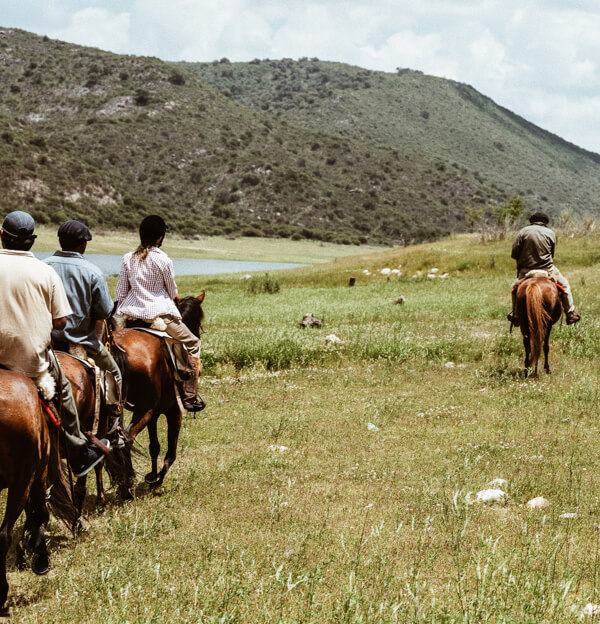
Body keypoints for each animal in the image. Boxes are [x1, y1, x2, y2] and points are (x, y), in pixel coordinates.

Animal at [111, 294, 205, 498]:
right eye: (199, 320)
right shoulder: (173, 412)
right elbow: (171, 452)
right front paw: (157, 479)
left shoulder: (154, 415)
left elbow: (154, 447)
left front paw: (153, 476)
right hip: (144, 410)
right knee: (127, 439)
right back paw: (127, 487)